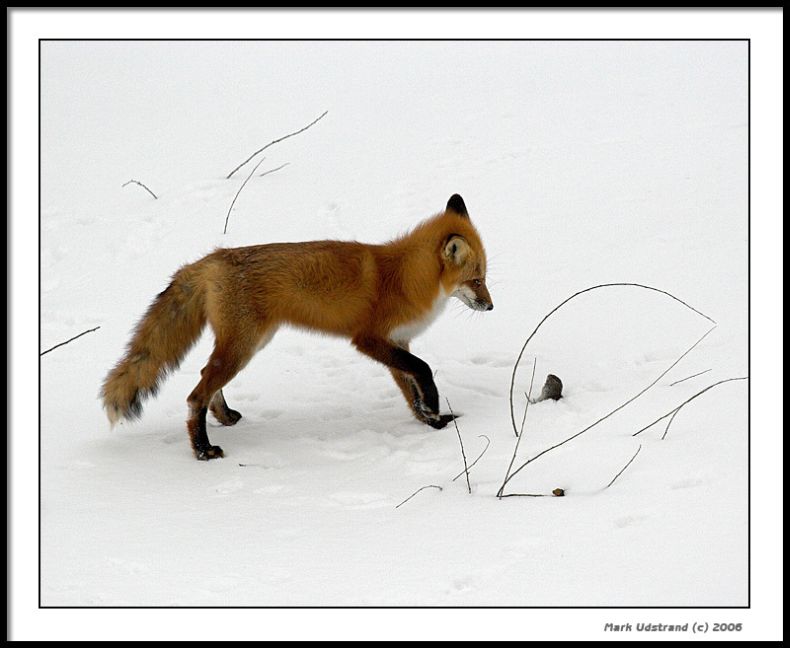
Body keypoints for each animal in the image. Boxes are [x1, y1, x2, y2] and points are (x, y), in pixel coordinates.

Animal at [100, 194, 496, 460]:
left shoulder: (398, 342)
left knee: (204, 378)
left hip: (248, 344)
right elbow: (423, 370)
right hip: (243, 348)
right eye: (477, 280)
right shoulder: (369, 339)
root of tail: (211, 259)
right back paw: (203, 450)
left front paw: (432, 421)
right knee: (195, 395)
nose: (492, 306)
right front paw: (434, 410)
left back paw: (225, 418)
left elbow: (411, 390)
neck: (404, 278)